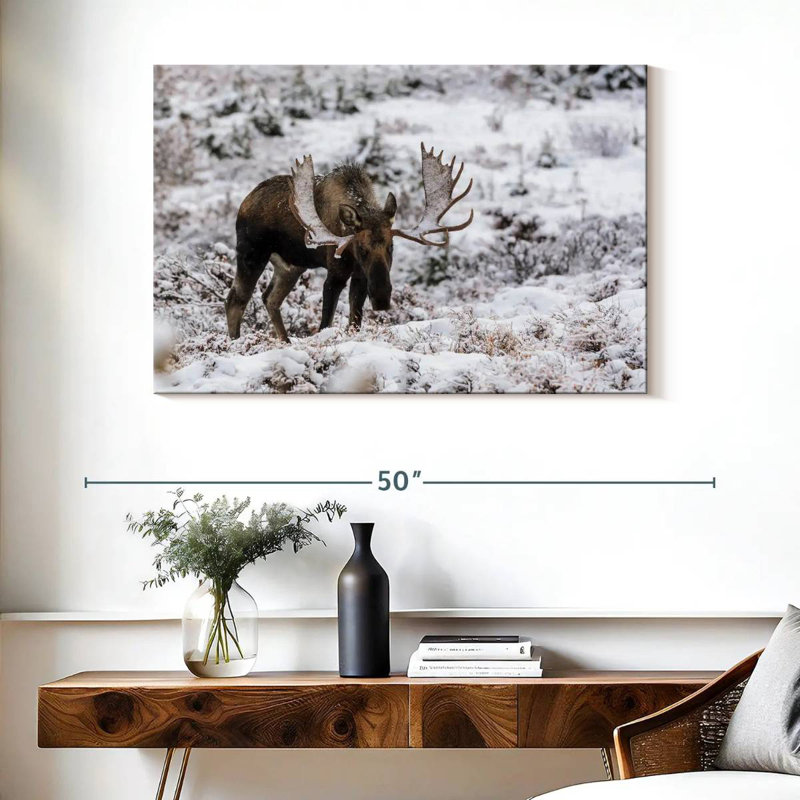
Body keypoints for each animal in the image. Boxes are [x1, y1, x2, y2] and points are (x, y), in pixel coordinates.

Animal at [225, 143, 474, 342]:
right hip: (252, 252)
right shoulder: (335, 272)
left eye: (391, 247)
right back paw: (234, 343)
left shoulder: (361, 276)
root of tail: (245, 201)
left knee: (270, 299)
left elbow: (354, 322)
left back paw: (284, 341)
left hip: (291, 265)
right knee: (236, 299)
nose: (382, 297)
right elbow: (325, 323)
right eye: (360, 248)